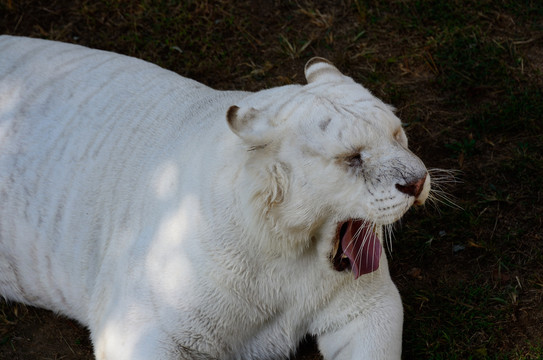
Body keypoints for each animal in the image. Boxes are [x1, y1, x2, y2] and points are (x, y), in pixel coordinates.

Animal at [1, 35, 430, 358]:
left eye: (397, 134)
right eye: (352, 158)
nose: (418, 181)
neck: (291, 253)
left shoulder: (371, 306)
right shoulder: (139, 328)